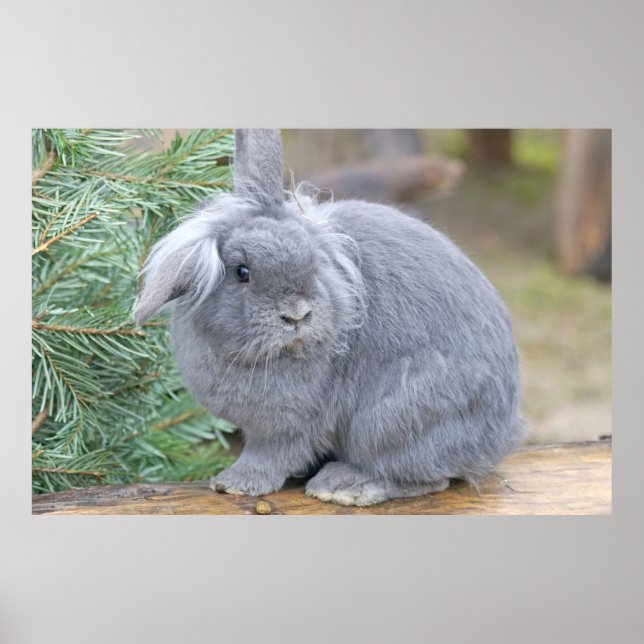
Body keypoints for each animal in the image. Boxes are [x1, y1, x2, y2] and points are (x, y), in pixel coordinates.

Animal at [134, 129, 526, 506]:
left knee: (426, 477)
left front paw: (234, 484)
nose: (297, 314)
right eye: (242, 272)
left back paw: (345, 486)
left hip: (392, 420)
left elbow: (270, 455)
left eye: (313, 262)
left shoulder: (288, 426)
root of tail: (501, 434)